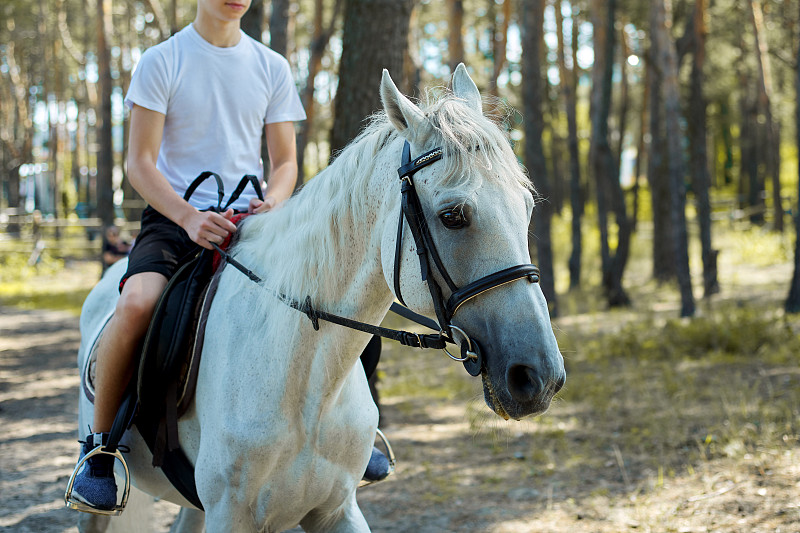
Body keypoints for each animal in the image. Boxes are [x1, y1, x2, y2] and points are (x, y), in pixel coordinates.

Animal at [73, 64, 564, 528]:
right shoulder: (230, 514)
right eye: (453, 216)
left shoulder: (336, 509)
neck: (306, 381)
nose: (539, 378)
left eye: (526, 207)